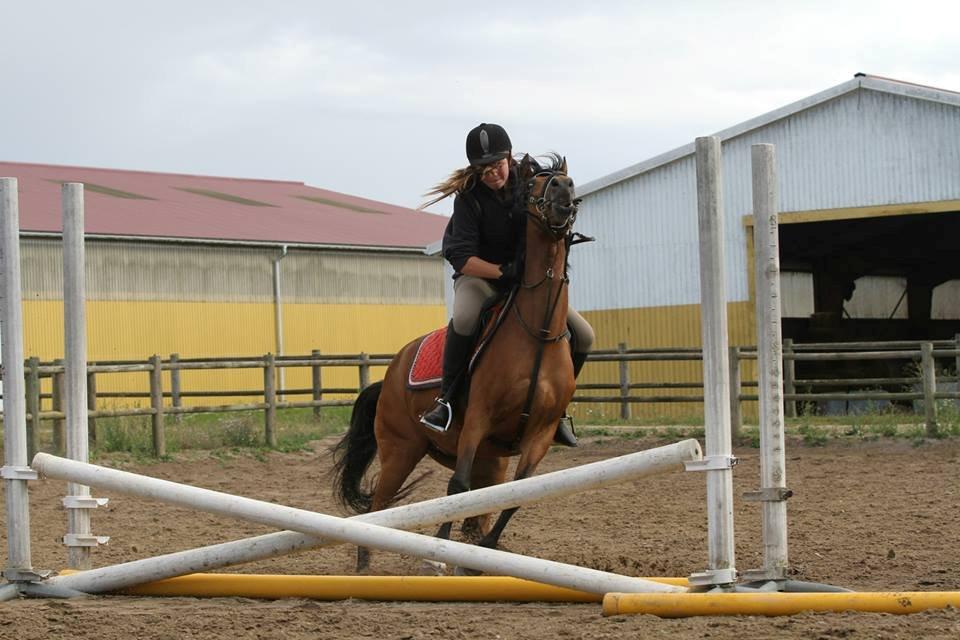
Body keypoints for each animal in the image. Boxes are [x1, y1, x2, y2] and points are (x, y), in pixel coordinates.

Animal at [330, 152, 580, 572]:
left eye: (567, 179)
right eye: (534, 184)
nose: (564, 191)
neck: (538, 332)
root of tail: (393, 371)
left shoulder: (541, 433)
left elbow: (515, 496)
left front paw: (480, 557)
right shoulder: (477, 418)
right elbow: (457, 488)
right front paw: (439, 555)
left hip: (488, 460)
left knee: (481, 501)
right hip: (401, 450)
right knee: (378, 506)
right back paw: (365, 566)